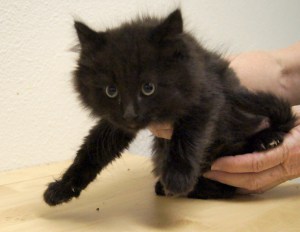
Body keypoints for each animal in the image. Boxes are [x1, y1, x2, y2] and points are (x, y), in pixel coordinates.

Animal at [44, 9, 296, 206]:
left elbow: (186, 137)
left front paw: (177, 177)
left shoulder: (206, 98)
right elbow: (91, 150)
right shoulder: (114, 123)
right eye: (111, 91)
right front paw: (62, 188)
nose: (130, 114)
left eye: (148, 88)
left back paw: (266, 140)